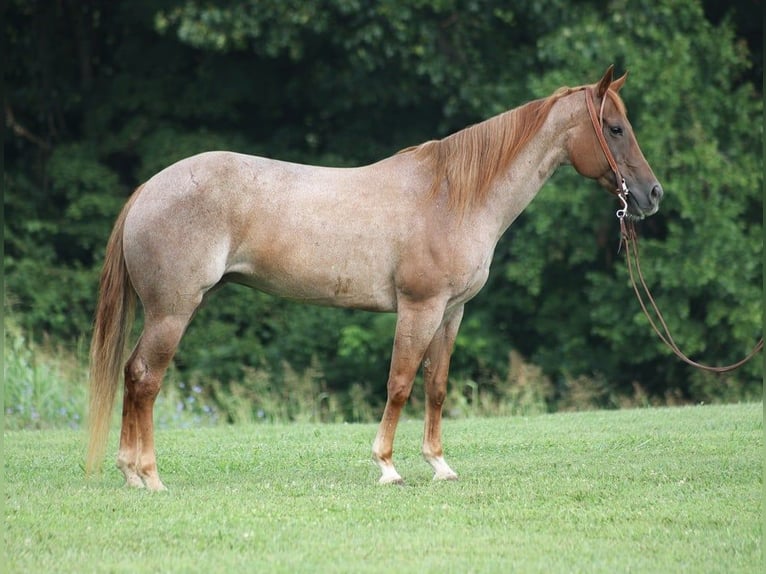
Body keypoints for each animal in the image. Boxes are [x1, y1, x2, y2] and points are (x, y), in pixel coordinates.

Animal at [86, 65, 662, 490]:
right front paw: (387, 466)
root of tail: (149, 188)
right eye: (614, 128)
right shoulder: (419, 308)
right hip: (173, 311)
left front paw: (439, 465)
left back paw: (131, 474)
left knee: (133, 376)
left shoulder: (451, 312)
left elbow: (436, 387)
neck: (452, 196)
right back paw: (149, 476)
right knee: (145, 378)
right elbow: (400, 384)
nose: (651, 194)